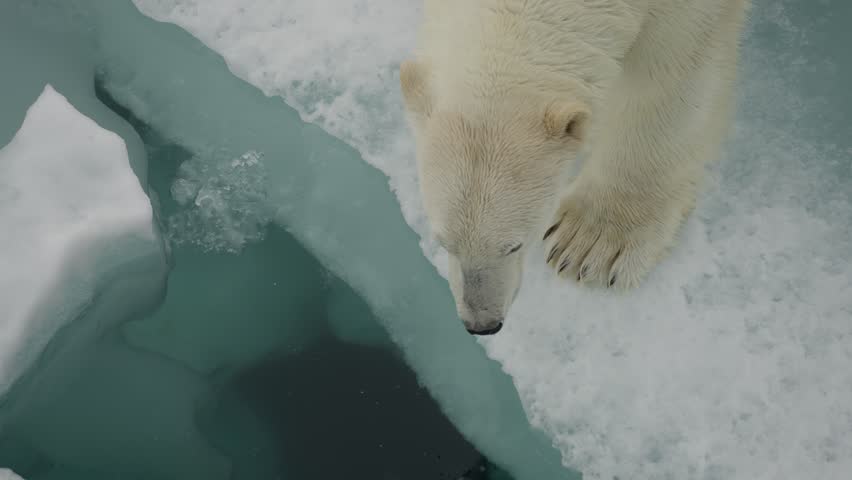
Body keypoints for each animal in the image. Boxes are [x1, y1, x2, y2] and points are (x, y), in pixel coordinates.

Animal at [400, 0, 750, 335]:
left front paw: (591, 245)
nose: (482, 324)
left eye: (514, 245)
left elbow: (673, 76)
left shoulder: (691, 12)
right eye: (444, 242)